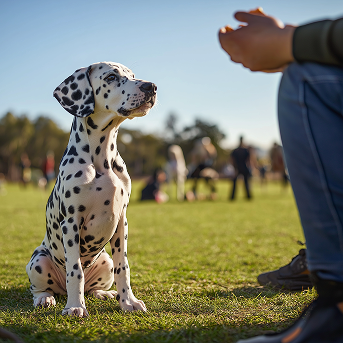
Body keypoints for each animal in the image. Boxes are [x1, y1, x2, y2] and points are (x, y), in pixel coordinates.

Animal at [26, 61, 158, 318]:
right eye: (111, 77)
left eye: (133, 76)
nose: (151, 86)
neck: (102, 159)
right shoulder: (71, 221)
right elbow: (74, 270)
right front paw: (75, 306)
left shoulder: (122, 220)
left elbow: (123, 267)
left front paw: (128, 302)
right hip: (38, 260)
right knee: (41, 288)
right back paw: (46, 298)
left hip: (105, 260)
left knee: (95, 285)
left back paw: (103, 293)